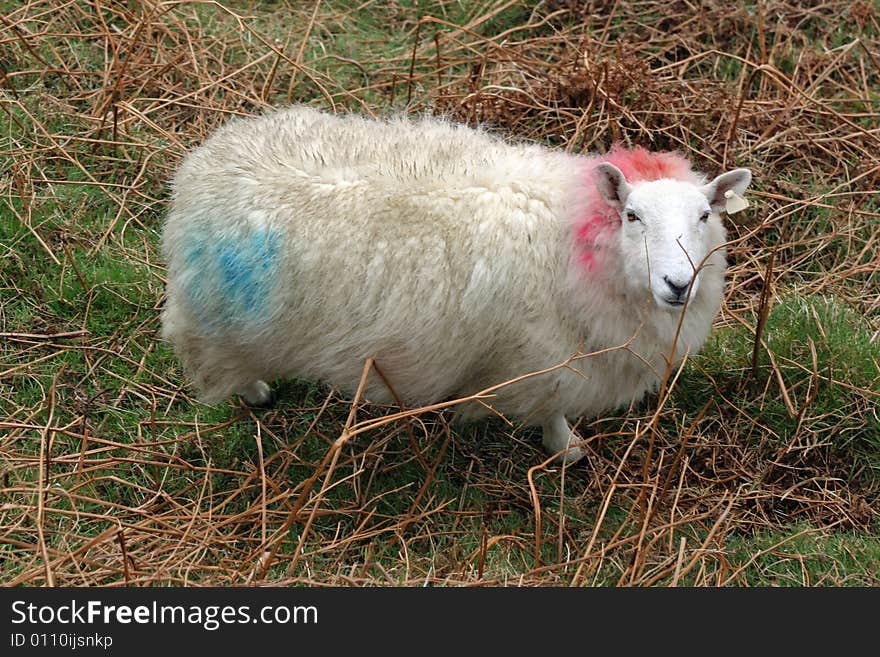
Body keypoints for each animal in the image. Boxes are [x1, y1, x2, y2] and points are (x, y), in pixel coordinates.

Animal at [158, 105, 748, 464]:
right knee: (213, 357)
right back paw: (256, 393)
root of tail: (203, 163)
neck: (568, 232)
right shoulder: (540, 359)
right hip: (216, 314)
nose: (678, 283)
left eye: (704, 216)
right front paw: (566, 449)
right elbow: (552, 408)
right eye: (632, 215)